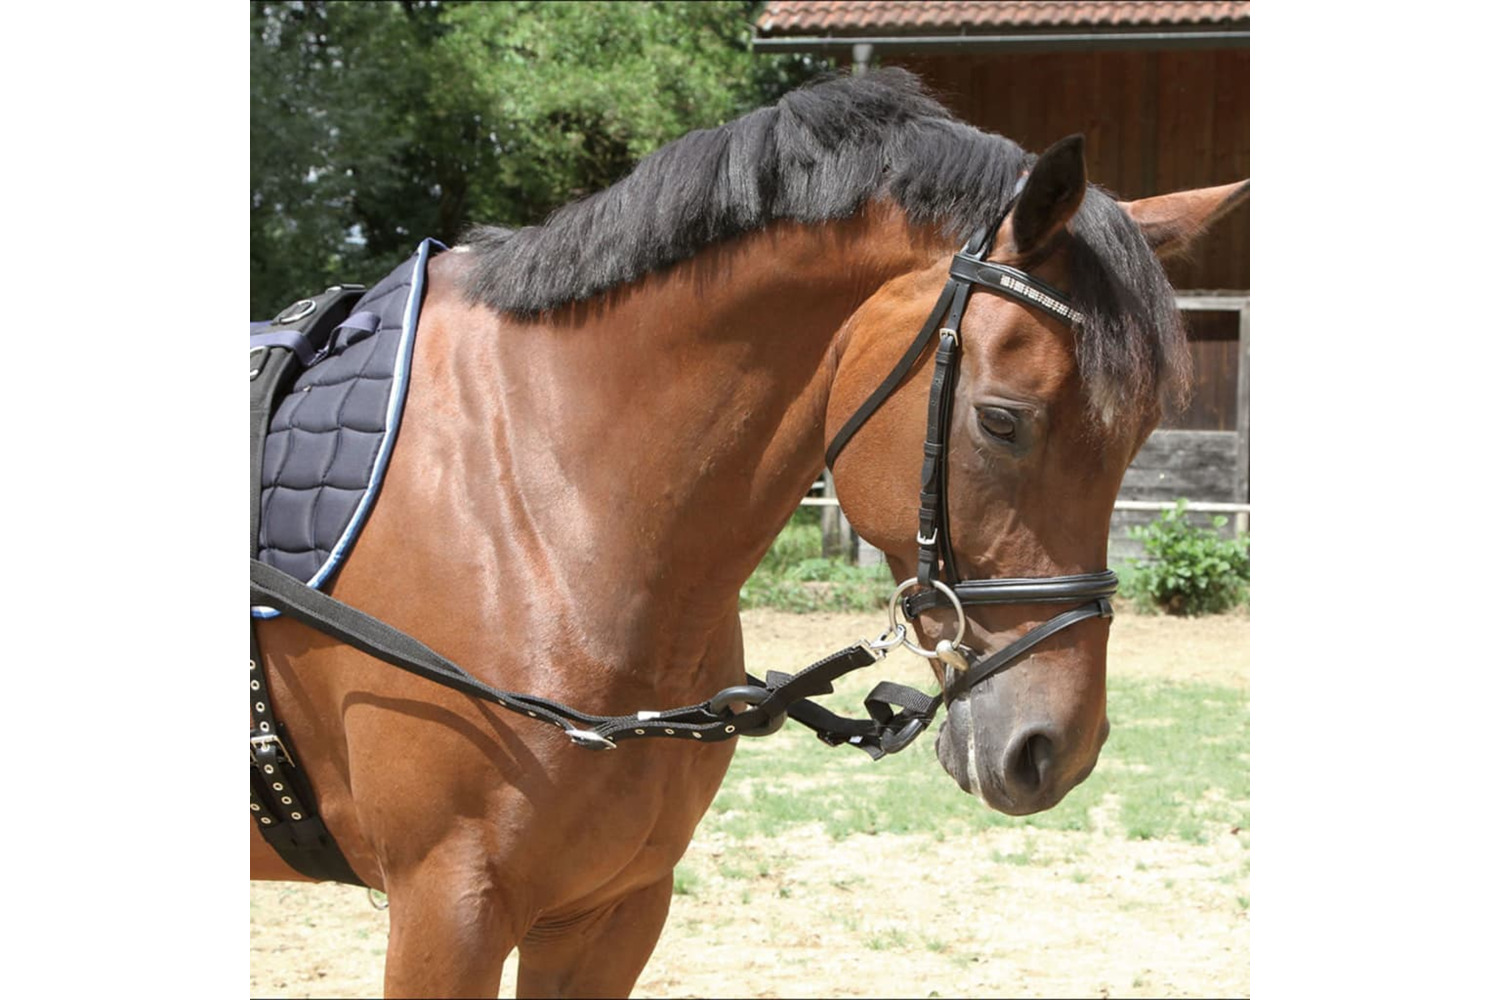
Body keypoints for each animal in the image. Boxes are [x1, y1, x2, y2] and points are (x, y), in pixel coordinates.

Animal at [250, 68, 1248, 998]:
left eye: (1141, 434)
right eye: (1003, 422)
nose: (1055, 750)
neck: (537, 504)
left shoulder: (613, 908)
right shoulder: (446, 909)